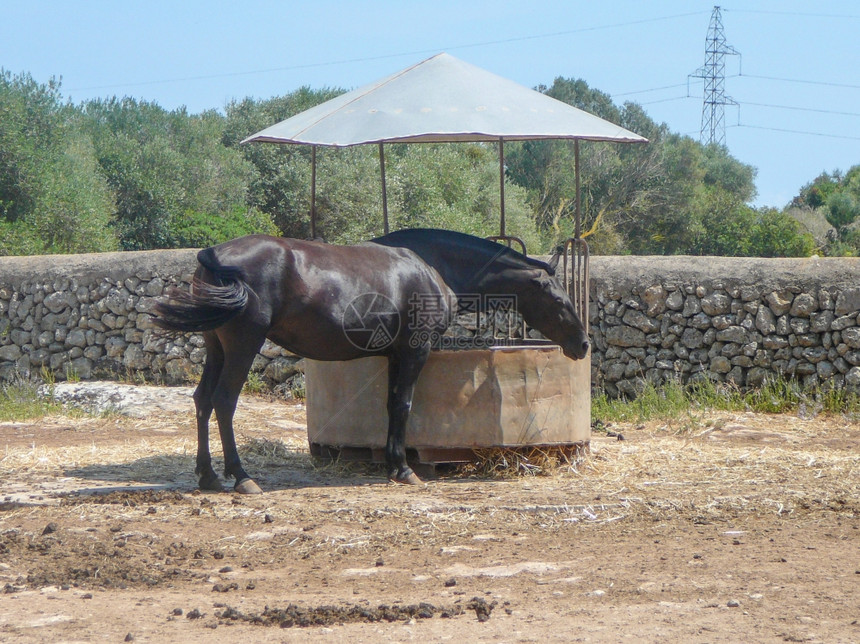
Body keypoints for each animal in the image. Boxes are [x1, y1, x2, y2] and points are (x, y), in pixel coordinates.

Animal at [151, 230, 588, 494]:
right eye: (559, 298)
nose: (583, 345)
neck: (431, 266)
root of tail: (215, 255)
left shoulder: (396, 354)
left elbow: (391, 406)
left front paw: (394, 464)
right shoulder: (415, 351)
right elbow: (404, 405)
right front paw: (405, 469)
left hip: (216, 348)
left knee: (202, 401)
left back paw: (208, 476)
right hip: (243, 346)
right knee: (223, 403)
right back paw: (241, 477)